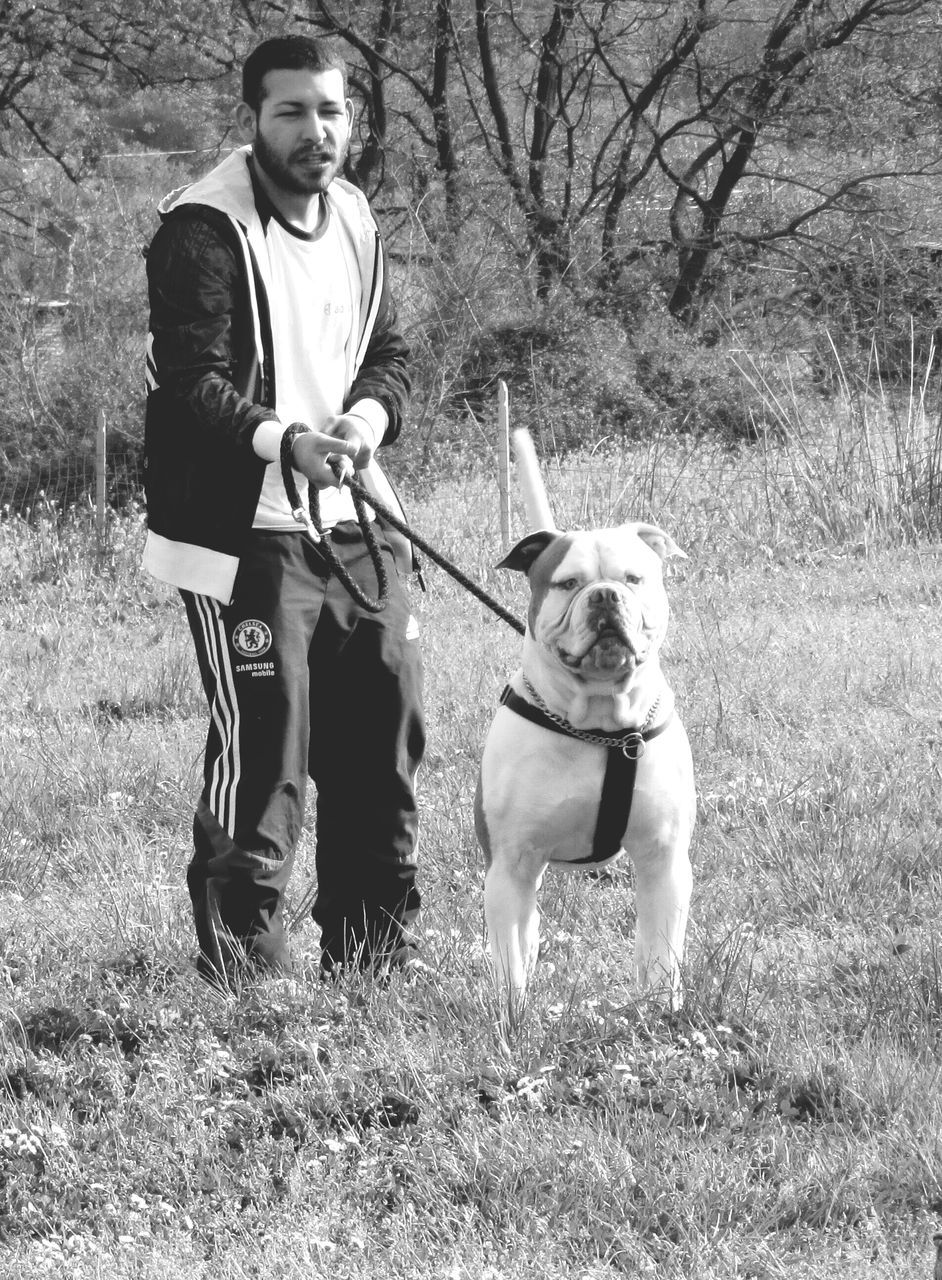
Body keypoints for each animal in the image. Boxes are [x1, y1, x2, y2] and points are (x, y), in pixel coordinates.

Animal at [473, 522, 696, 1008]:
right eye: (568, 583)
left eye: (633, 579)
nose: (606, 596)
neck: (600, 727)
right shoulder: (510, 865)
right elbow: (509, 961)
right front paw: (512, 1015)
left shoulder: (664, 858)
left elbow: (660, 951)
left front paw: (659, 1011)